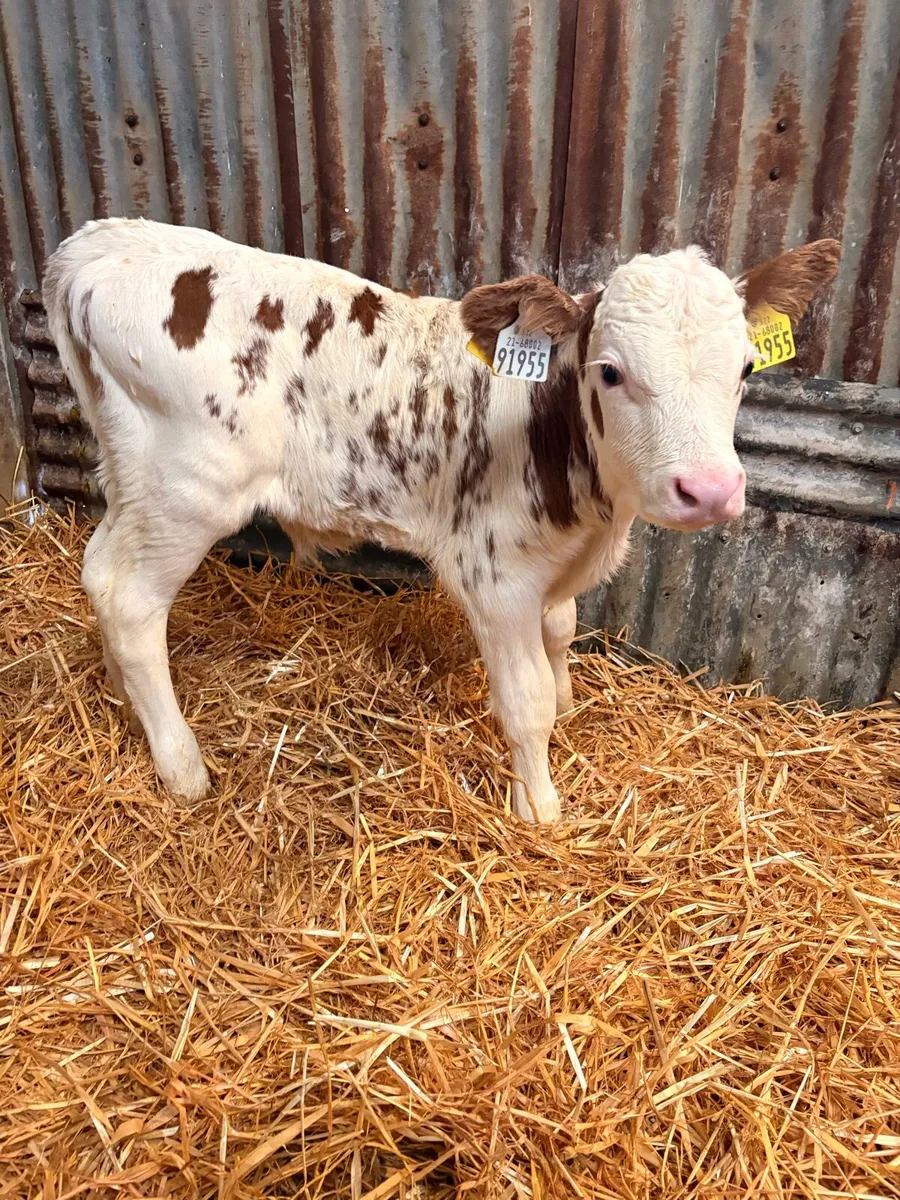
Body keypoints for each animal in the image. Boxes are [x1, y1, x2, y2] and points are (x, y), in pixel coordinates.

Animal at [44, 219, 840, 823]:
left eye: (746, 368)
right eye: (611, 371)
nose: (709, 490)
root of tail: (97, 244)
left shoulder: (552, 570)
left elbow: (561, 632)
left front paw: (570, 701)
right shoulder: (494, 574)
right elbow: (525, 702)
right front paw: (538, 807)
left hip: (134, 479)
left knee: (99, 571)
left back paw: (125, 704)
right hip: (187, 491)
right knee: (132, 601)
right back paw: (181, 765)